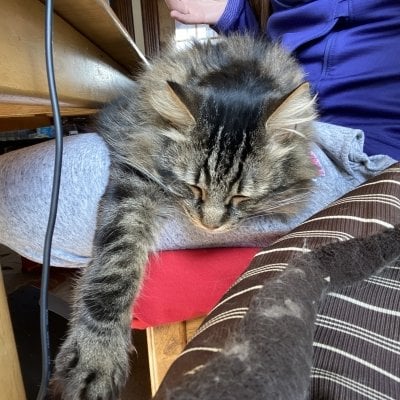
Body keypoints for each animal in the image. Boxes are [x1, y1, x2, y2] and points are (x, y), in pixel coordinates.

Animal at [51, 35, 318, 400]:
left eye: (241, 197)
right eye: (194, 188)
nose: (210, 225)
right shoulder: (135, 177)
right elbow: (114, 272)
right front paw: (97, 358)